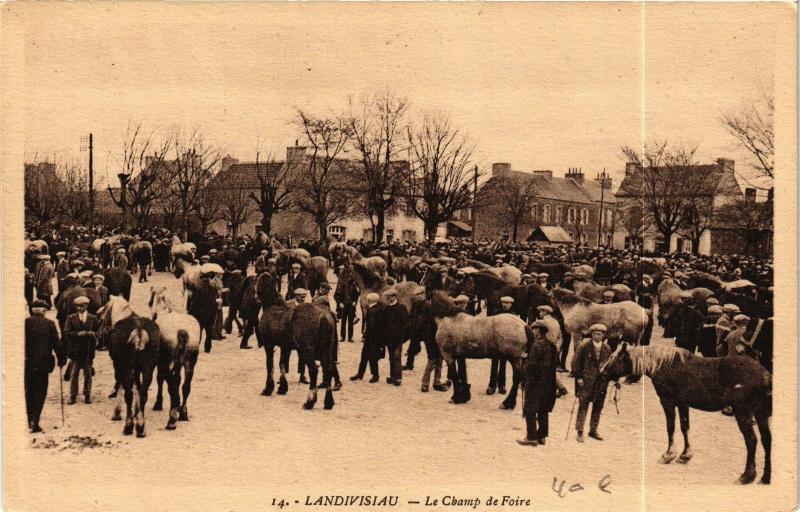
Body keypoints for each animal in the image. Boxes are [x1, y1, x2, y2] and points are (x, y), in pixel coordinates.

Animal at [604, 344, 772, 484]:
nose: (602, 372)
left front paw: (669, 454)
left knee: (752, 441)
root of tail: (765, 375)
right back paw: (765, 478)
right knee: (766, 440)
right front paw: (685, 455)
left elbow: (670, 427)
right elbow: (685, 427)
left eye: (615, 358)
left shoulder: (668, 401)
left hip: (743, 413)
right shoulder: (683, 404)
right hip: (760, 413)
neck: (665, 364)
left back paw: (746, 476)